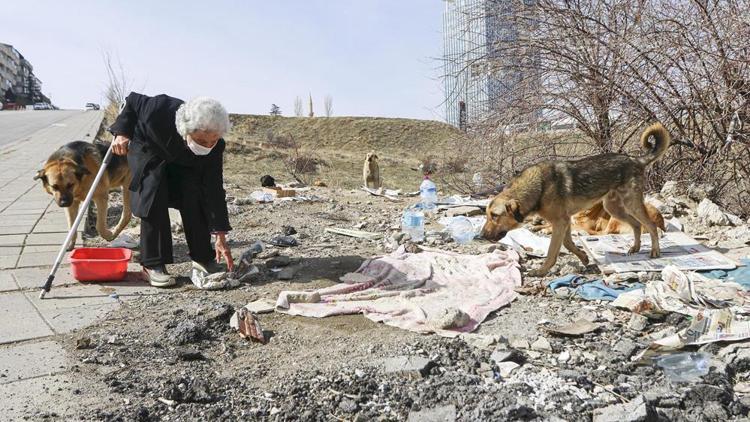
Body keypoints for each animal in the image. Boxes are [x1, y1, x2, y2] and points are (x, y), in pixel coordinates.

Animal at [484, 123, 672, 276]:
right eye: (487, 215)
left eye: (495, 216)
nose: (481, 235)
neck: (539, 186)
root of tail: (636, 160)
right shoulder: (565, 222)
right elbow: (568, 244)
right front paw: (583, 257)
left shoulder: (560, 222)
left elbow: (552, 251)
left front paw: (541, 271)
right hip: (614, 208)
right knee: (636, 225)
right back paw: (635, 248)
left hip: (631, 204)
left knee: (650, 225)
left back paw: (655, 251)